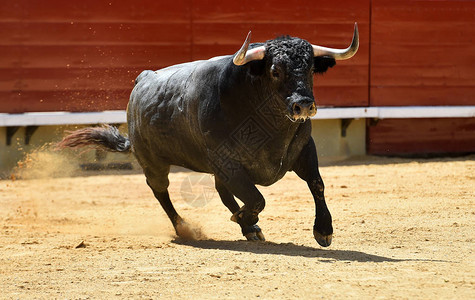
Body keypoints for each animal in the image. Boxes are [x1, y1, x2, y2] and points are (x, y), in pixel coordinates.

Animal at [58, 25, 356, 246]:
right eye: (275, 71)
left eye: (311, 69)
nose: (303, 105)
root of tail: (142, 79)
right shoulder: (227, 163)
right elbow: (257, 198)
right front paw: (243, 219)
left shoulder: (304, 148)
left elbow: (316, 184)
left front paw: (324, 231)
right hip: (153, 162)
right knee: (161, 192)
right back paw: (185, 228)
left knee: (221, 192)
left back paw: (248, 228)